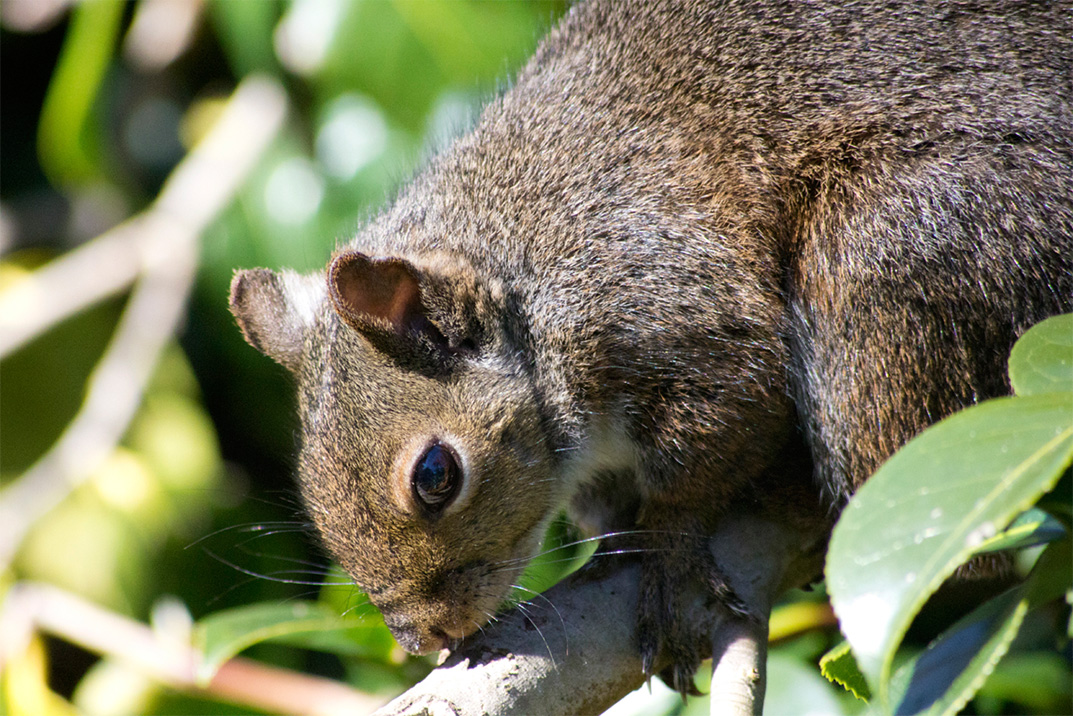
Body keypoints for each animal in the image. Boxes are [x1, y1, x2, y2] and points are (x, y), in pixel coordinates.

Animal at [229, 0, 1073, 695]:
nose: (422, 637)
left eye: (435, 475)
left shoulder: (675, 314)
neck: (532, 287)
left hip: (894, 263)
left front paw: (666, 545)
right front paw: (615, 536)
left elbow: (719, 435)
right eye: (309, 484)